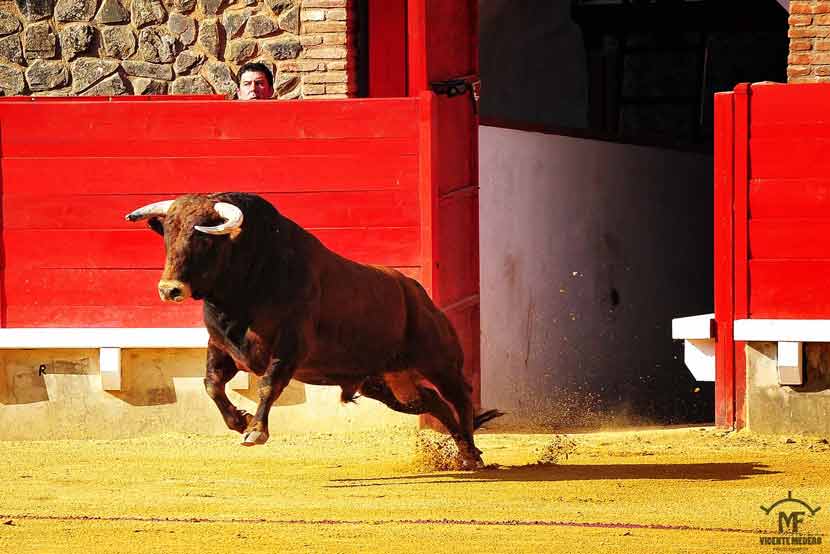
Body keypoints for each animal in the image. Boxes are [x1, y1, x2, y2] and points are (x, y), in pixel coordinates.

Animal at [123, 192, 500, 468]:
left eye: (203, 240)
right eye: (168, 235)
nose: (169, 289)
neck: (245, 286)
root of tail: (419, 295)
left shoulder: (290, 347)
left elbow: (268, 385)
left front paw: (255, 432)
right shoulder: (221, 347)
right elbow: (211, 385)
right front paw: (240, 422)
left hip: (441, 363)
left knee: (460, 398)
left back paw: (472, 452)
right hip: (387, 385)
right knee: (433, 402)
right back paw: (466, 452)